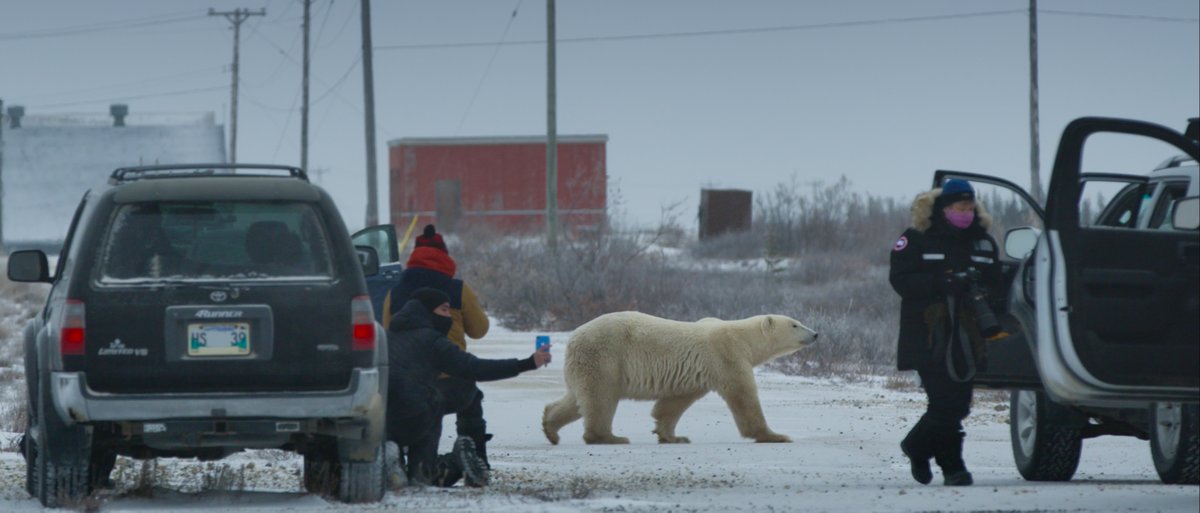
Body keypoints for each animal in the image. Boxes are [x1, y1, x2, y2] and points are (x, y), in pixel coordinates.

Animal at [542, 311, 818, 445]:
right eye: (795, 324)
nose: (816, 333)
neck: (743, 338)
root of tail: (574, 337)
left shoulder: (696, 373)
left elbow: (674, 402)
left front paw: (673, 436)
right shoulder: (727, 356)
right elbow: (743, 397)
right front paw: (776, 435)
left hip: (584, 364)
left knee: (576, 399)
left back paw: (551, 428)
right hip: (605, 356)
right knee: (601, 398)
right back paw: (609, 437)